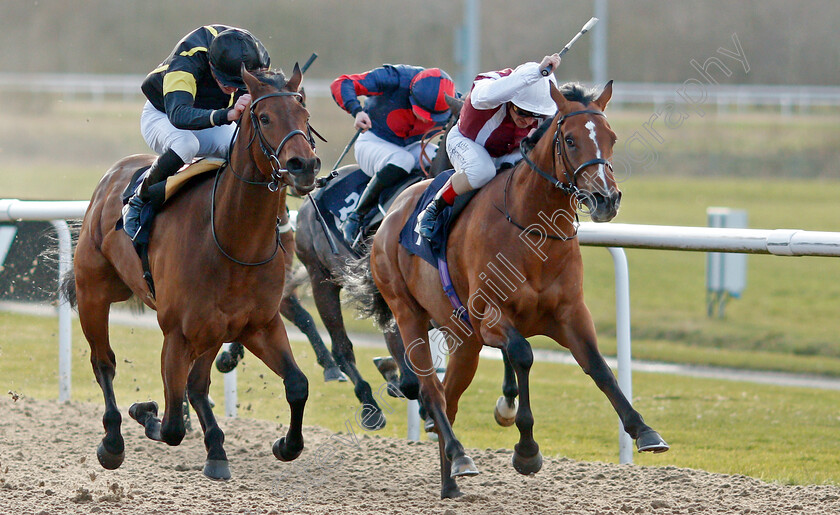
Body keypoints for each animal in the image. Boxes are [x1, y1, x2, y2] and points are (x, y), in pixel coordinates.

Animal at [62, 66, 322, 482]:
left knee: (197, 385)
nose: (305, 166)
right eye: (265, 118)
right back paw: (113, 441)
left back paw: (215, 449)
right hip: (94, 294)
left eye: (305, 115)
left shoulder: (257, 324)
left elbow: (297, 384)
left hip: (208, 328)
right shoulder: (178, 333)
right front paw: (144, 411)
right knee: (104, 363)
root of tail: (113, 175)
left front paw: (285, 445)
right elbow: (170, 424)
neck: (234, 242)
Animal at [344, 81, 668, 500]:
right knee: (431, 390)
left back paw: (450, 482)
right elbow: (523, 353)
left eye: (610, 137)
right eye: (570, 139)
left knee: (448, 397)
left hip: (462, 339)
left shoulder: (570, 314)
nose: (606, 199)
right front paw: (526, 450)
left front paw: (644, 430)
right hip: (409, 313)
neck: (533, 231)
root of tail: (390, 214)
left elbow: (599, 367)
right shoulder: (490, 318)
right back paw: (460, 456)